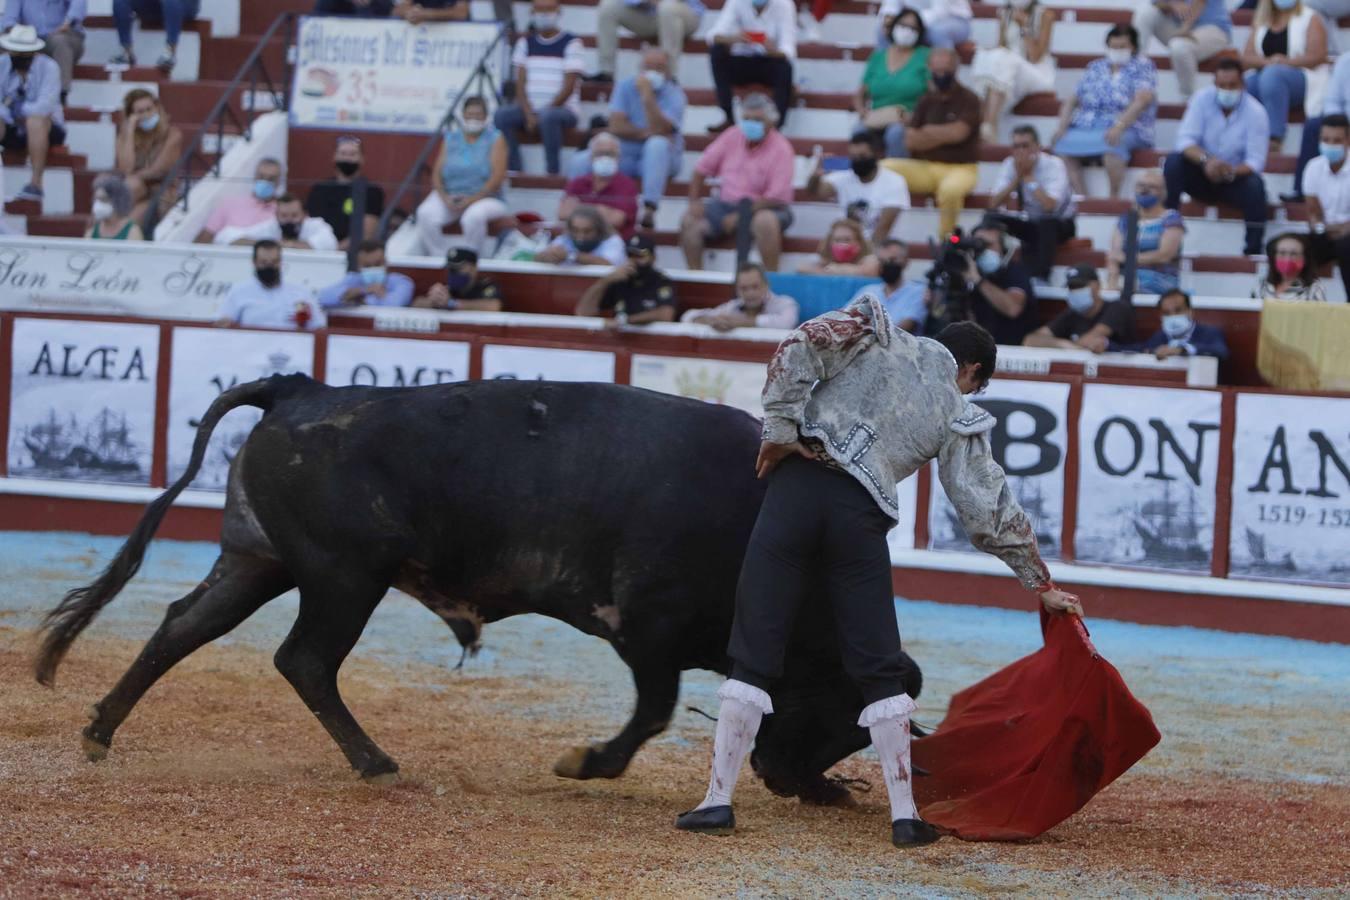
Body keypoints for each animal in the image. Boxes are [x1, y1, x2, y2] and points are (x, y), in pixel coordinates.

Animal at [36, 375, 923, 804]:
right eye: (843, 709)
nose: (803, 785)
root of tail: (302, 388)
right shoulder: (649, 627)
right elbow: (654, 711)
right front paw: (585, 762)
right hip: (343, 576)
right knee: (305, 660)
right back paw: (376, 762)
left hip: (260, 560)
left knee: (183, 627)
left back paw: (99, 731)